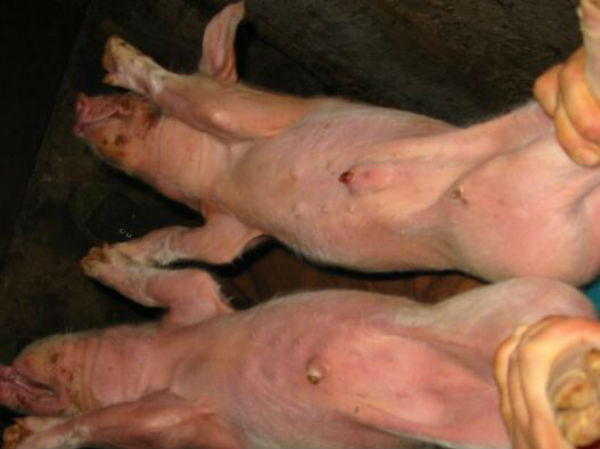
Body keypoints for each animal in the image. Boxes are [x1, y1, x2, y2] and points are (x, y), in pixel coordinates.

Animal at [0, 248, 595, 448]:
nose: (6, 376)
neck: (167, 362)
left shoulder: (195, 307)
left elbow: (172, 282)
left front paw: (96, 261)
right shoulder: (195, 418)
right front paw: (19, 434)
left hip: (522, 301)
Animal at [73, 0, 600, 286]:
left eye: (138, 104)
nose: (79, 102)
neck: (215, 177)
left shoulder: (254, 113)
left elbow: (196, 98)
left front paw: (116, 55)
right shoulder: (233, 228)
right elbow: (191, 245)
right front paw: (99, 257)